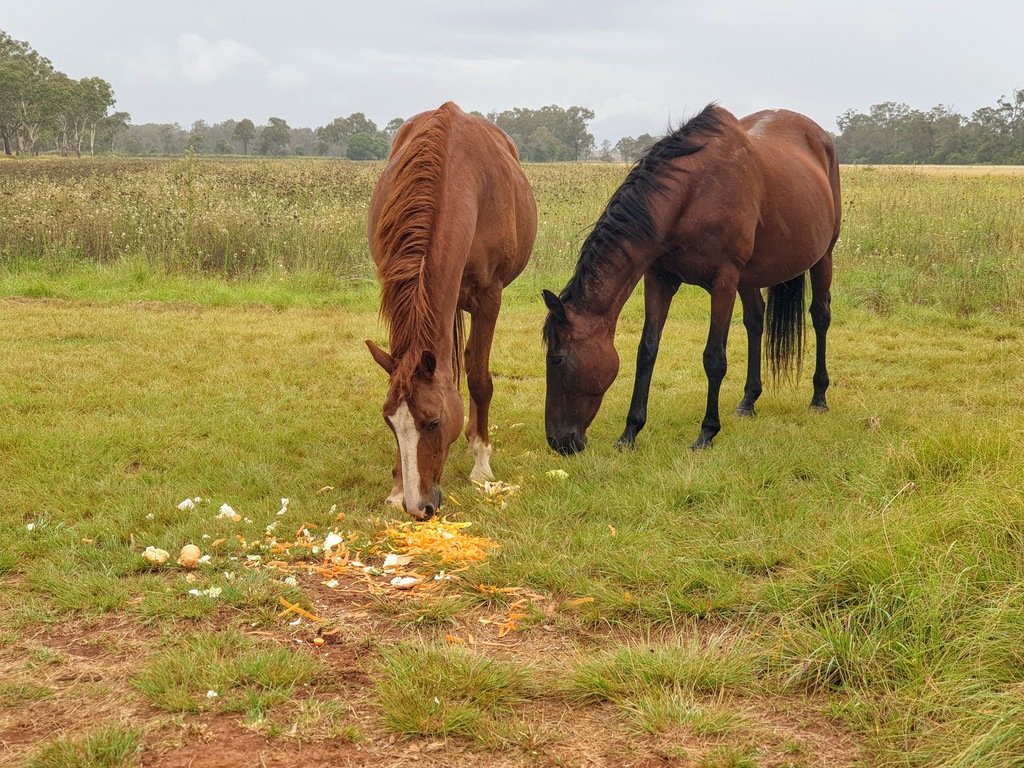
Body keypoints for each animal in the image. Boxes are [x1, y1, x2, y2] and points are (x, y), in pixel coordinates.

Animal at [364, 102, 536, 520]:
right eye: (390, 423)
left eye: (433, 422)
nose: (417, 506)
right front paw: (396, 486)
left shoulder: (490, 297)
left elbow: (479, 377)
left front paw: (481, 462)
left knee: (472, 363)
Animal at [544, 107, 839, 456]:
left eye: (557, 359)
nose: (558, 442)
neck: (694, 195)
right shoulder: (659, 278)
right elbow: (647, 351)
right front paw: (630, 432)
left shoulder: (724, 281)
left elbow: (714, 358)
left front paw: (706, 433)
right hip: (750, 277)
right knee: (755, 321)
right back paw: (748, 401)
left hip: (822, 258)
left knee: (820, 317)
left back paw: (818, 397)